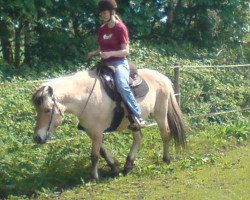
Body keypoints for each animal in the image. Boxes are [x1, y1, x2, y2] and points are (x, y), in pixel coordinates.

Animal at [32, 69, 186, 180]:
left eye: (47, 109)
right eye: (37, 109)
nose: (38, 138)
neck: (86, 97)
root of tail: (163, 77)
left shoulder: (97, 131)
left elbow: (94, 155)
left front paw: (94, 177)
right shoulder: (91, 130)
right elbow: (102, 151)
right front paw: (114, 166)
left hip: (160, 113)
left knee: (165, 133)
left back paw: (166, 158)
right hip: (134, 123)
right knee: (138, 138)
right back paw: (128, 165)